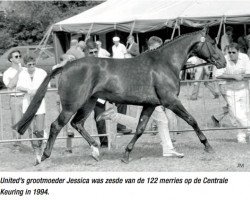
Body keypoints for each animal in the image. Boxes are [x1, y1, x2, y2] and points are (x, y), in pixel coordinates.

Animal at [14, 28, 227, 165]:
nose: (223, 62)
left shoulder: (150, 105)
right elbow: (192, 120)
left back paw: (95, 150)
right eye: (212, 43)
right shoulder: (171, 102)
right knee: (57, 125)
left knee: (77, 123)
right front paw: (208, 146)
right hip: (71, 105)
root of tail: (65, 66)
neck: (165, 64)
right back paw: (42, 156)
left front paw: (126, 155)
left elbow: (140, 128)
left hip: (88, 102)